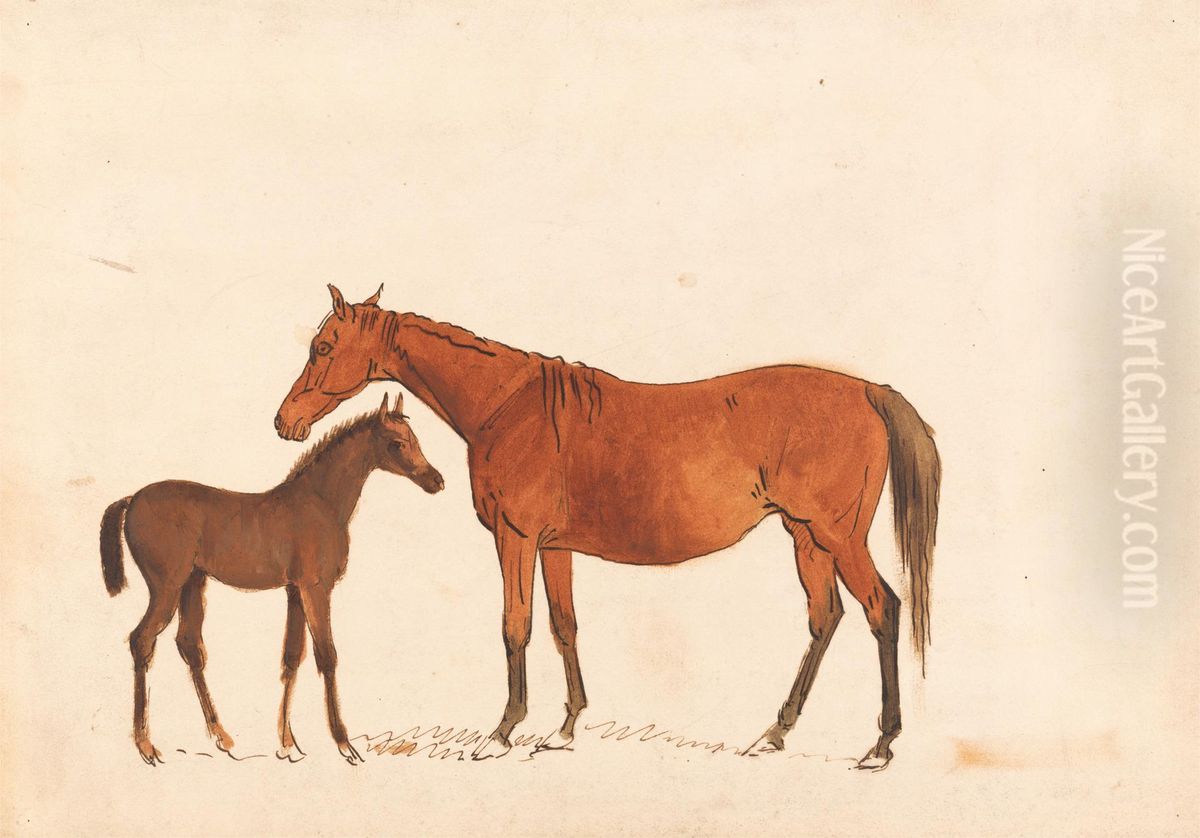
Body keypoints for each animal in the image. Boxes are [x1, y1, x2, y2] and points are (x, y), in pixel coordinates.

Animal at [101, 393, 444, 765]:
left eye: (416, 440)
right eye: (397, 444)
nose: (437, 481)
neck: (320, 502)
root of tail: (132, 499)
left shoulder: (294, 590)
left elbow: (293, 656)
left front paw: (287, 743)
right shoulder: (315, 588)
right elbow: (327, 656)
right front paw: (343, 743)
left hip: (193, 583)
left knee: (190, 645)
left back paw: (221, 736)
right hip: (166, 586)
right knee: (142, 640)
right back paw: (146, 745)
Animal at [274, 284, 940, 769]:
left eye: (324, 347)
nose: (285, 422)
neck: (506, 406)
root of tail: (869, 391)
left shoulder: (515, 539)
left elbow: (515, 626)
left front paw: (501, 733)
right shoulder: (554, 548)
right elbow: (563, 626)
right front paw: (565, 729)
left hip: (837, 536)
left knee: (882, 608)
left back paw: (880, 746)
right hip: (805, 536)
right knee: (825, 617)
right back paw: (773, 733)